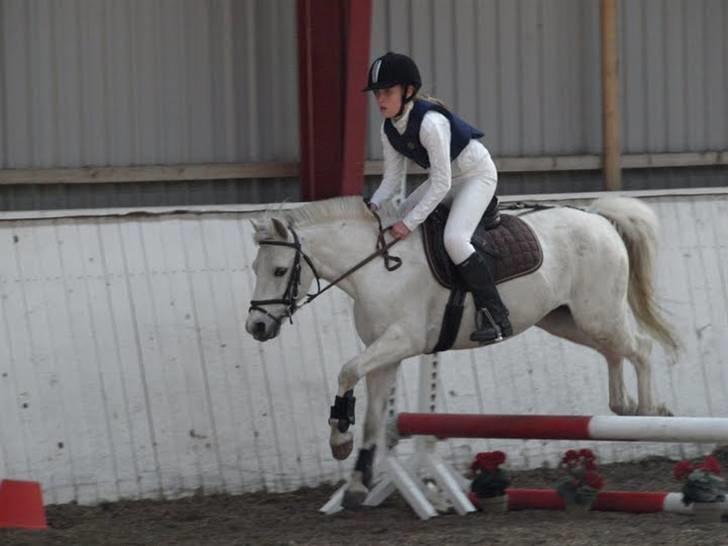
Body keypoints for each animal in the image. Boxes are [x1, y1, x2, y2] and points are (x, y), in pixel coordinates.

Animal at [245, 195, 679, 507]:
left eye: (280, 271)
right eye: (255, 268)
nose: (257, 327)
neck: (377, 269)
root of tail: (598, 218)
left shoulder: (400, 341)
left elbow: (347, 371)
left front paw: (339, 440)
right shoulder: (384, 354)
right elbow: (371, 417)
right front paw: (355, 485)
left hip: (596, 314)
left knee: (640, 347)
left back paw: (649, 411)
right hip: (566, 319)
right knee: (613, 352)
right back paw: (623, 405)